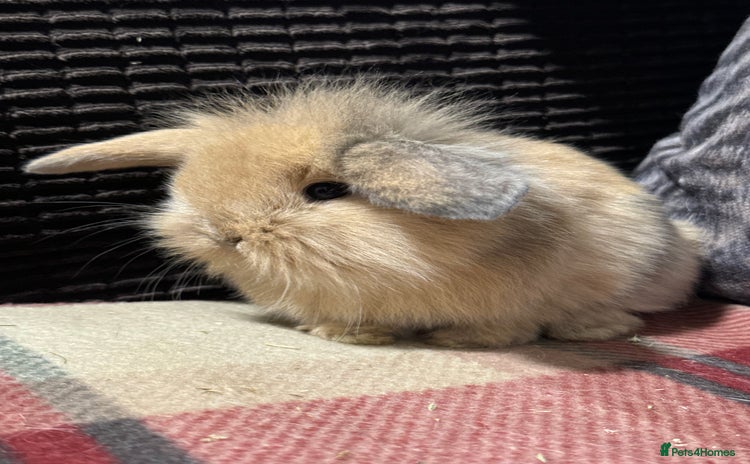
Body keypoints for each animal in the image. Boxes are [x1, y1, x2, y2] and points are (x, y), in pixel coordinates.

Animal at [24, 80, 703, 347]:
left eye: (325, 192)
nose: (226, 233)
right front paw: (341, 333)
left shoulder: (514, 306)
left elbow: (502, 331)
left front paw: (452, 341)